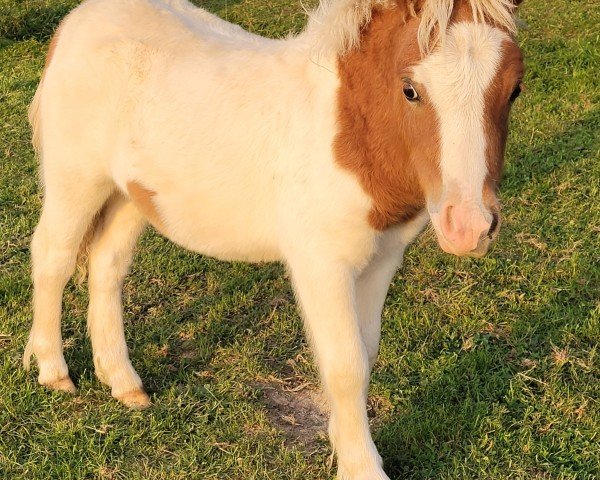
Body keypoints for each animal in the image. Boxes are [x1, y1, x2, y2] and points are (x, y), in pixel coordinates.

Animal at [25, 0, 524, 476]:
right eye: (410, 89)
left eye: (515, 88)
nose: (469, 227)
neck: (348, 130)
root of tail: (77, 19)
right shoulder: (321, 263)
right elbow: (345, 364)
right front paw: (361, 466)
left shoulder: (383, 258)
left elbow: (367, 352)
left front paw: (341, 440)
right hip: (76, 180)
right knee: (53, 257)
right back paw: (53, 371)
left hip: (129, 195)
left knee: (106, 267)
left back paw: (122, 382)